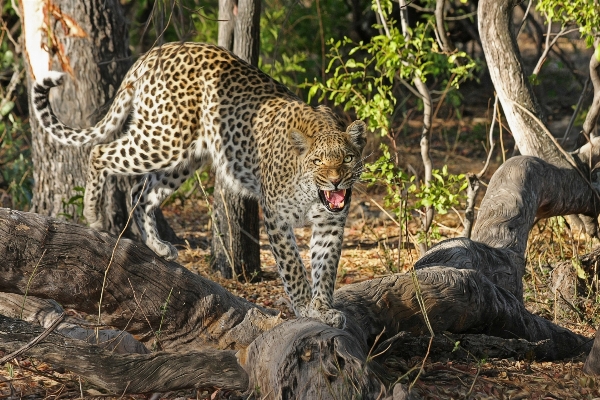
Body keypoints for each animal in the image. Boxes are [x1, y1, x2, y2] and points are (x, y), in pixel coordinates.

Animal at [31, 41, 366, 328]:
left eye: (348, 159)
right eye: (318, 161)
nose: (336, 180)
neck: (313, 193)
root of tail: (155, 52)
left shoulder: (331, 223)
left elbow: (326, 267)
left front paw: (323, 309)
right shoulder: (276, 217)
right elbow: (294, 268)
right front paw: (305, 307)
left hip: (184, 157)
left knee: (140, 192)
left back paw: (157, 245)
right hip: (164, 138)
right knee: (100, 152)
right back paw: (94, 215)